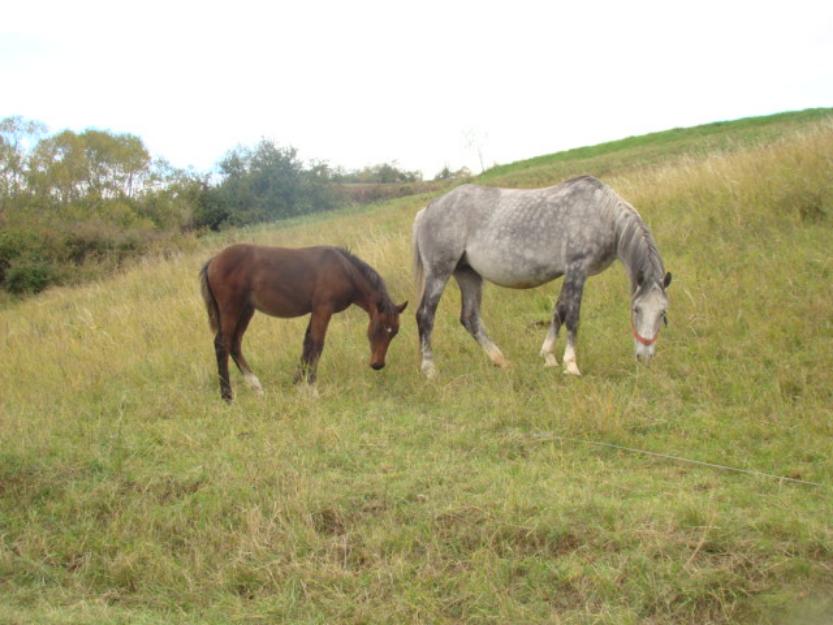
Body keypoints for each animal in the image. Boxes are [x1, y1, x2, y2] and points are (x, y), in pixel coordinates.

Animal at [412, 176, 672, 380]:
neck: (602, 213)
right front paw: (571, 365)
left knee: (470, 318)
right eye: (636, 309)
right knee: (426, 315)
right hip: (439, 271)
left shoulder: (571, 272)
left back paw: (502, 361)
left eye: (662, 313)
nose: (644, 356)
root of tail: (427, 209)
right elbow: (573, 317)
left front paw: (549, 357)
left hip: (468, 273)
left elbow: (559, 311)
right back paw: (429, 370)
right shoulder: (577, 269)